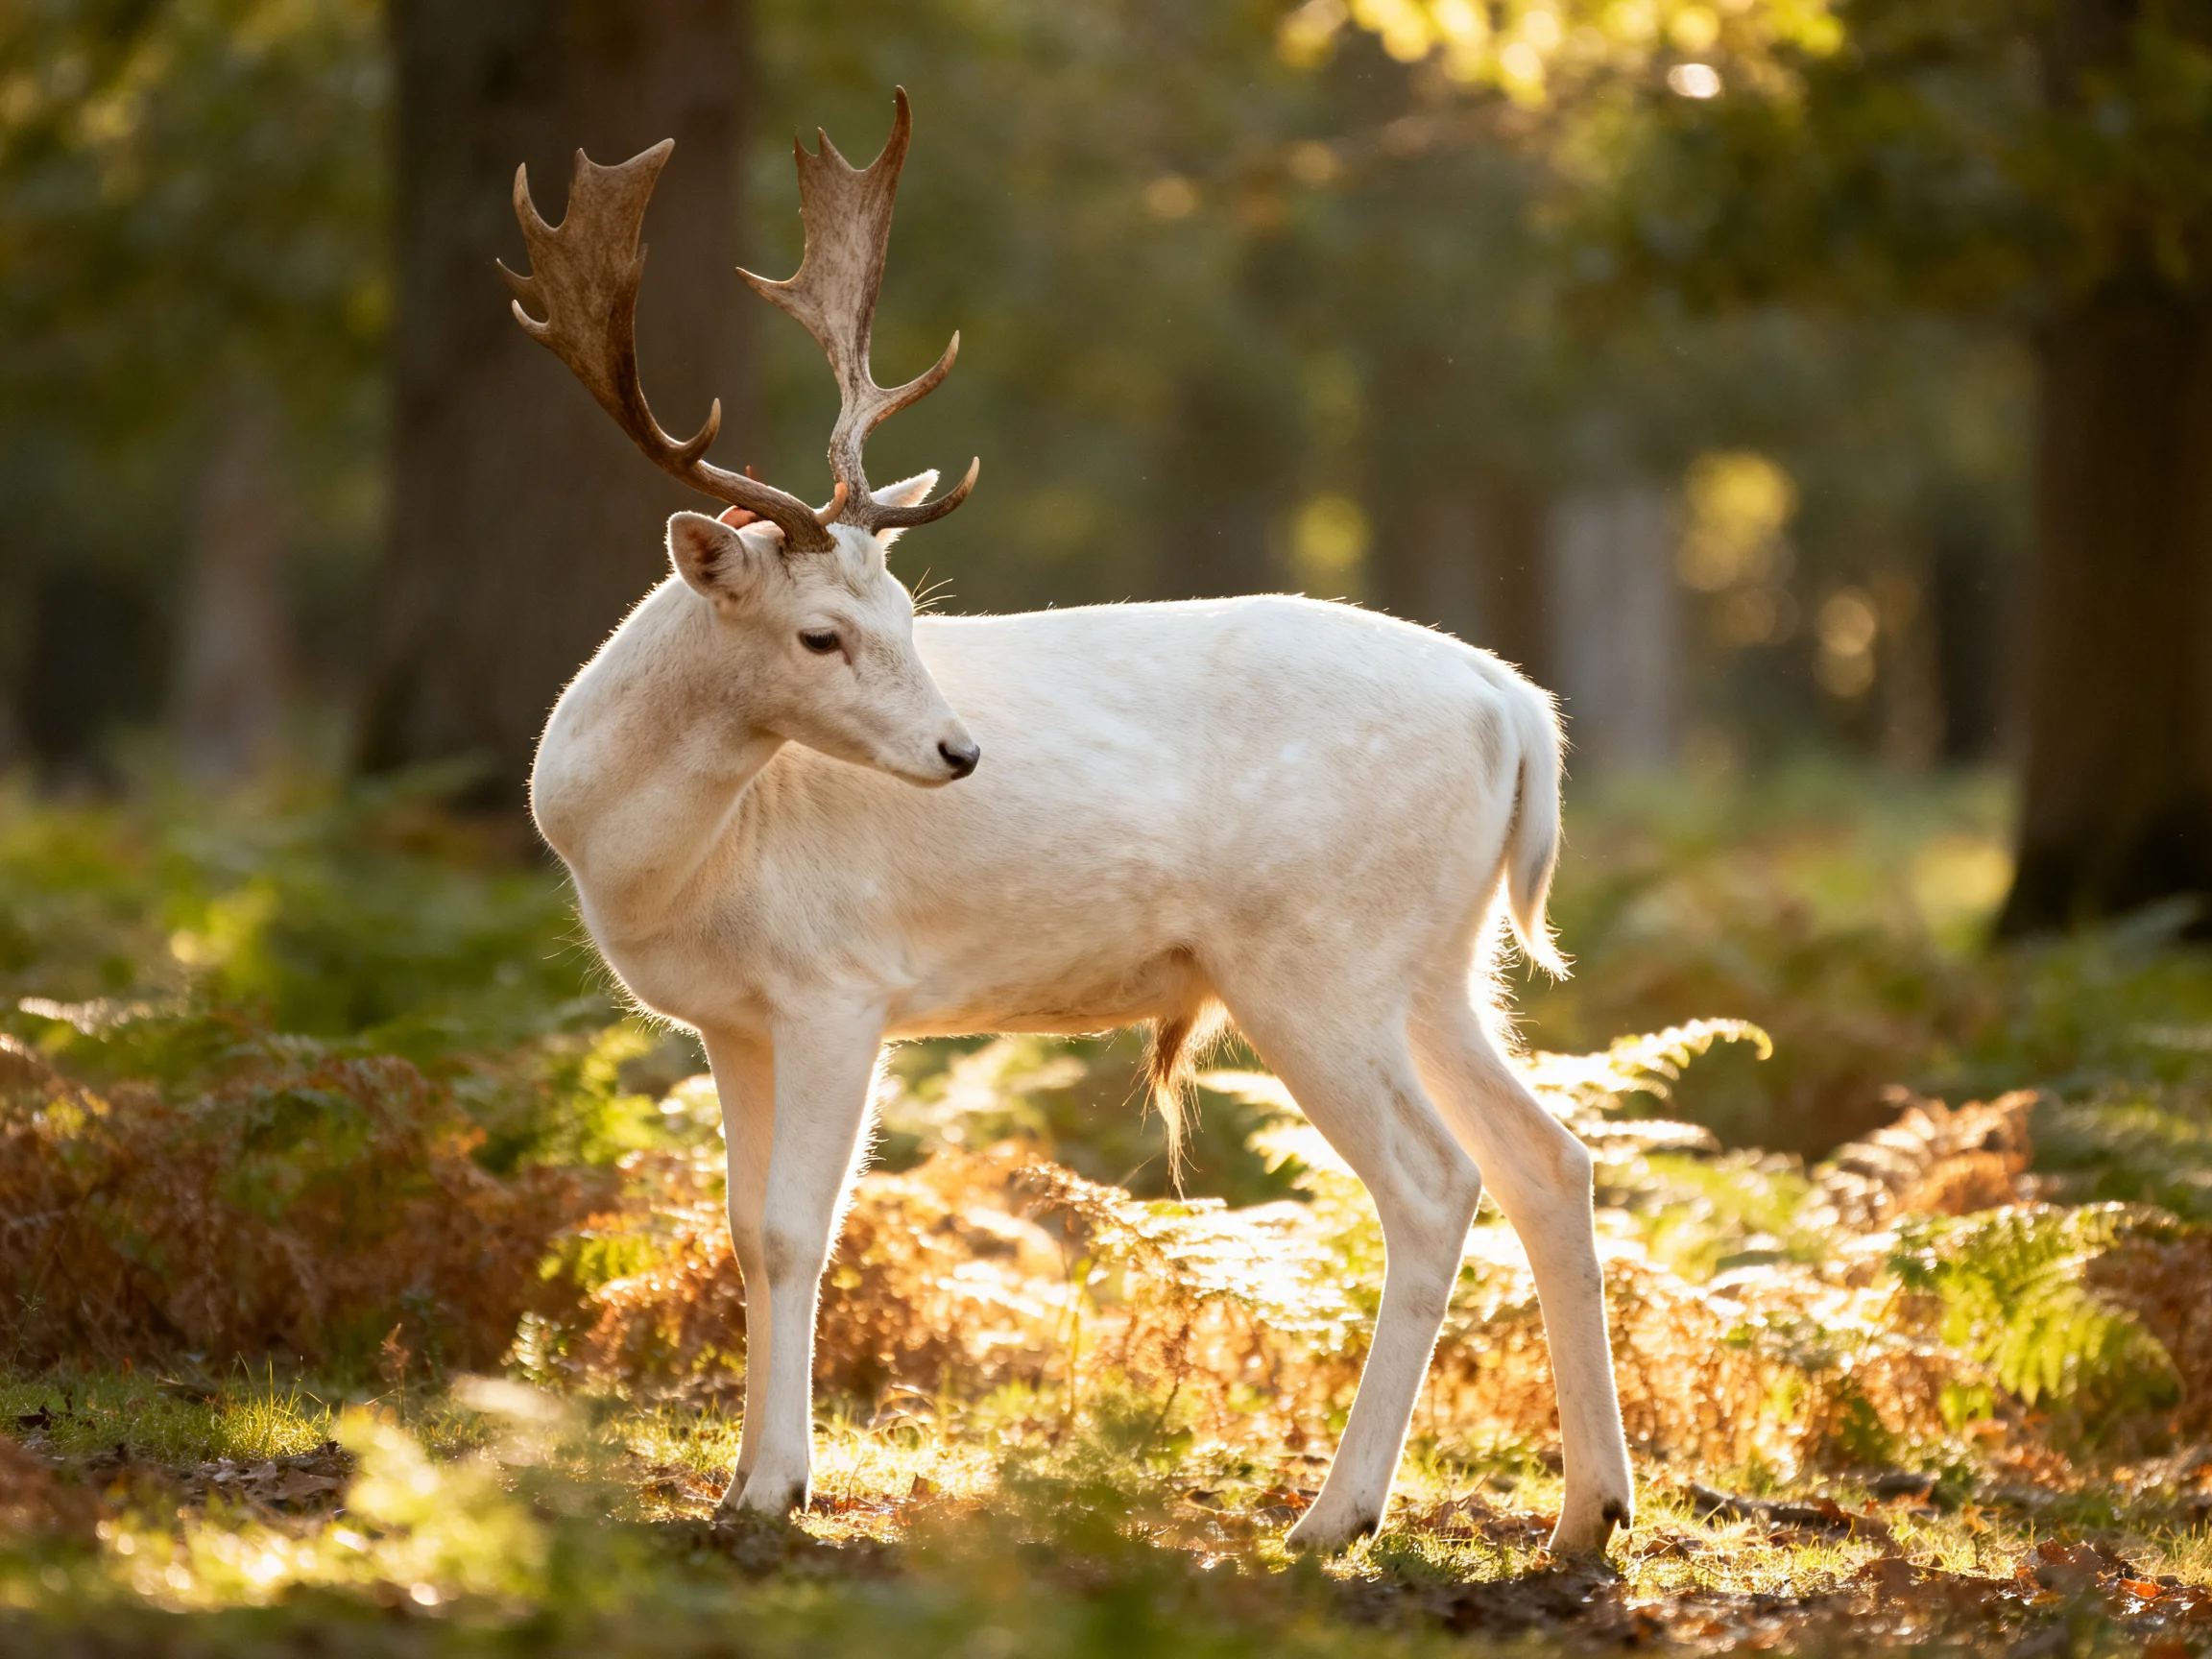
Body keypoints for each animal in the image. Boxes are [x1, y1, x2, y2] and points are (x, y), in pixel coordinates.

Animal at [502, 89, 1634, 1554]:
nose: (959, 750)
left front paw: (775, 1488)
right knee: (1552, 1158)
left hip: (1314, 959)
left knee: (1435, 1184)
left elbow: (801, 1229)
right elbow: (743, 1230)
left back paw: (1336, 1518)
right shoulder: (731, 1020)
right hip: (1439, 962)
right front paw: (744, 1481)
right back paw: (1589, 1514)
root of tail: (1518, 706)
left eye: (907, 610)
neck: (649, 853)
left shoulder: (839, 988)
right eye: (822, 633)